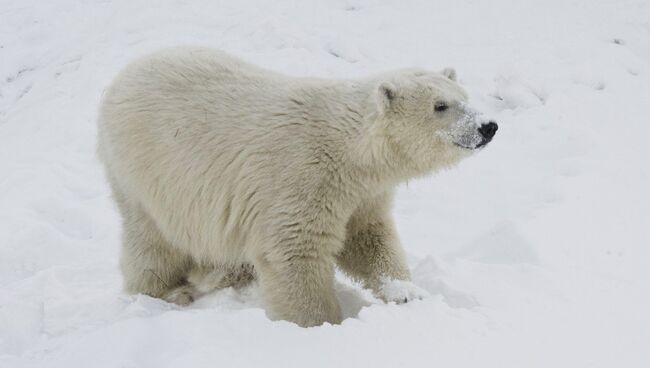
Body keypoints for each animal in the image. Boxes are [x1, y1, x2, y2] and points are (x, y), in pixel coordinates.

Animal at [96, 47, 496, 326]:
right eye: (440, 106)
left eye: (464, 95)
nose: (488, 126)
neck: (349, 148)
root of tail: (125, 73)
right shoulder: (302, 177)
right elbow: (295, 250)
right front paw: (319, 323)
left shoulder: (361, 193)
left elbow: (368, 238)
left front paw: (408, 293)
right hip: (146, 172)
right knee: (152, 239)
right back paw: (168, 291)